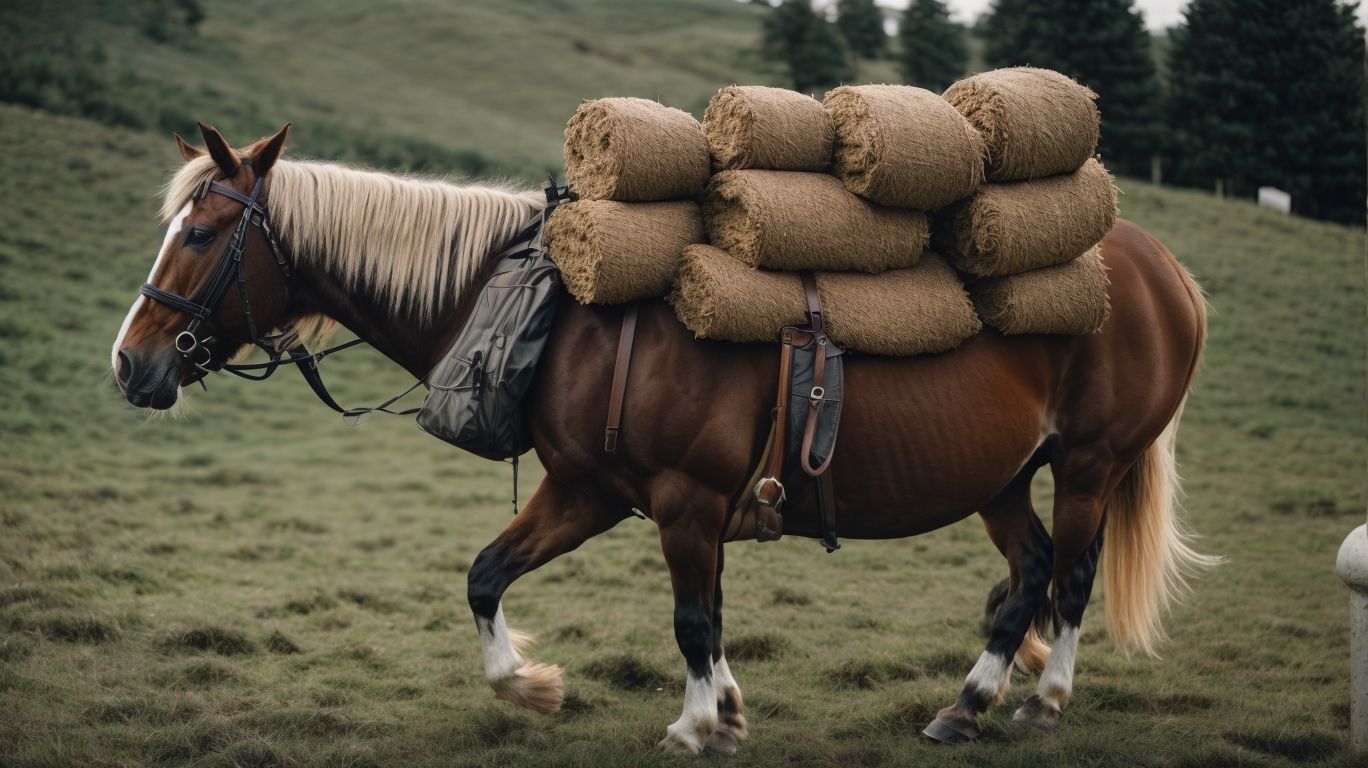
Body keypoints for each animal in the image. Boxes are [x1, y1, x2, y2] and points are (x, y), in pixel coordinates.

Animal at [112, 123, 1217, 754]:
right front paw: (553, 688)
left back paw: (1043, 699)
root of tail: (1163, 266)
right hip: (1002, 477)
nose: (131, 362)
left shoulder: (680, 501)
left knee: (1069, 576)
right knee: (1027, 573)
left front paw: (690, 724)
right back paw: (968, 703)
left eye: (201, 234)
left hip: (1090, 463)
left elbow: (691, 620)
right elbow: (490, 576)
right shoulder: (590, 490)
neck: (564, 312)